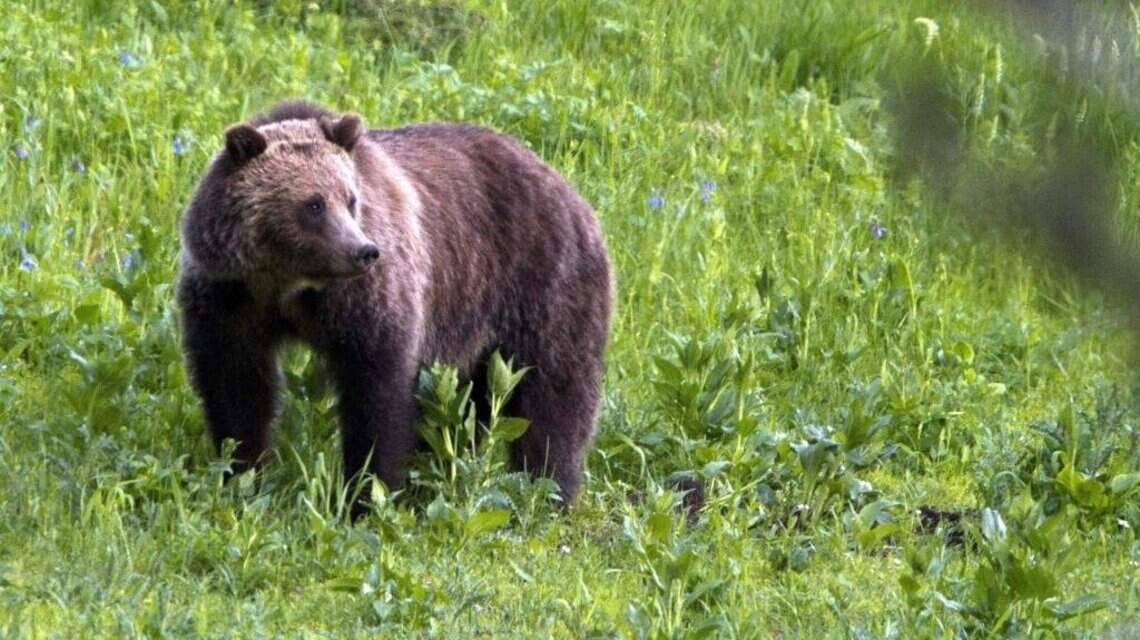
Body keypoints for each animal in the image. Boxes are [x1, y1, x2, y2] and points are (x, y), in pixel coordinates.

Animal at [177, 101, 612, 512]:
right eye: (314, 204)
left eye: (350, 199)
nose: (363, 251)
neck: (289, 283)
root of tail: (566, 187)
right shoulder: (230, 298)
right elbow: (236, 386)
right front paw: (241, 474)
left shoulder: (366, 301)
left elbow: (377, 393)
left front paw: (367, 494)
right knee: (470, 404)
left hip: (541, 284)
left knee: (554, 394)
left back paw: (549, 489)